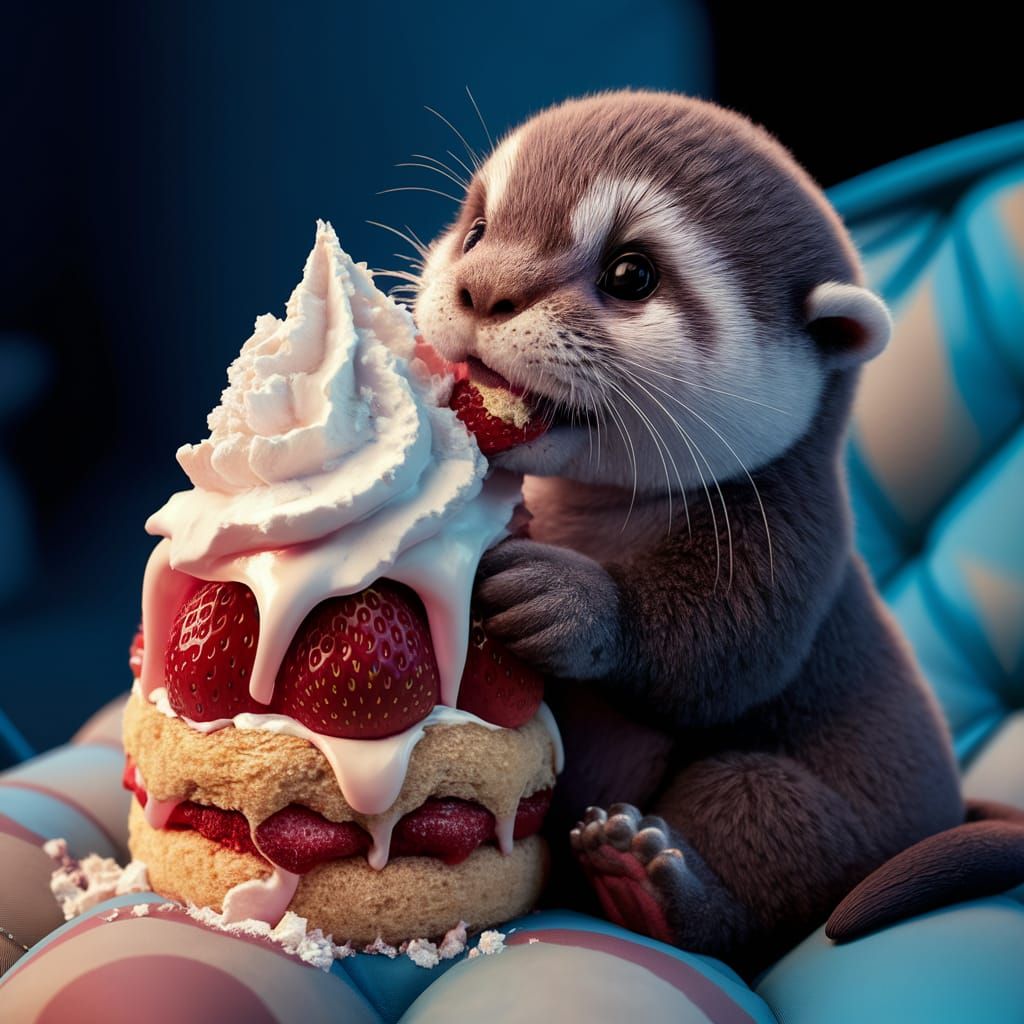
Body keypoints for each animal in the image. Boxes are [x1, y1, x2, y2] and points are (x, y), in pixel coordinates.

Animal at [404, 89, 1024, 977]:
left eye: (631, 273)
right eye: (477, 229)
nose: (483, 290)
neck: (598, 519)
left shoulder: (795, 538)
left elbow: (717, 654)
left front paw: (565, 599)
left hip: (799, 811)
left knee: (752, 819)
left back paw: (644, 884)